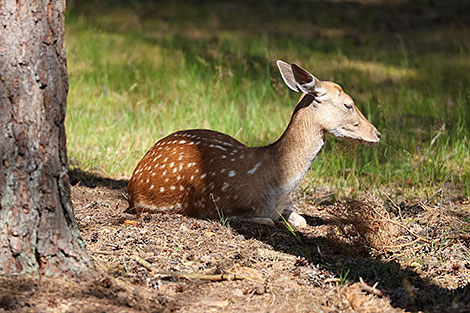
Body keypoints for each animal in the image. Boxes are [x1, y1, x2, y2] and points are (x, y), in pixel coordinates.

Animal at [127, 60, 382, 227]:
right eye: (349, 104)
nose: (377, 134)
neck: (275, 186)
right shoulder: (220, 208)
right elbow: (268, 220)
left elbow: (301, 220)